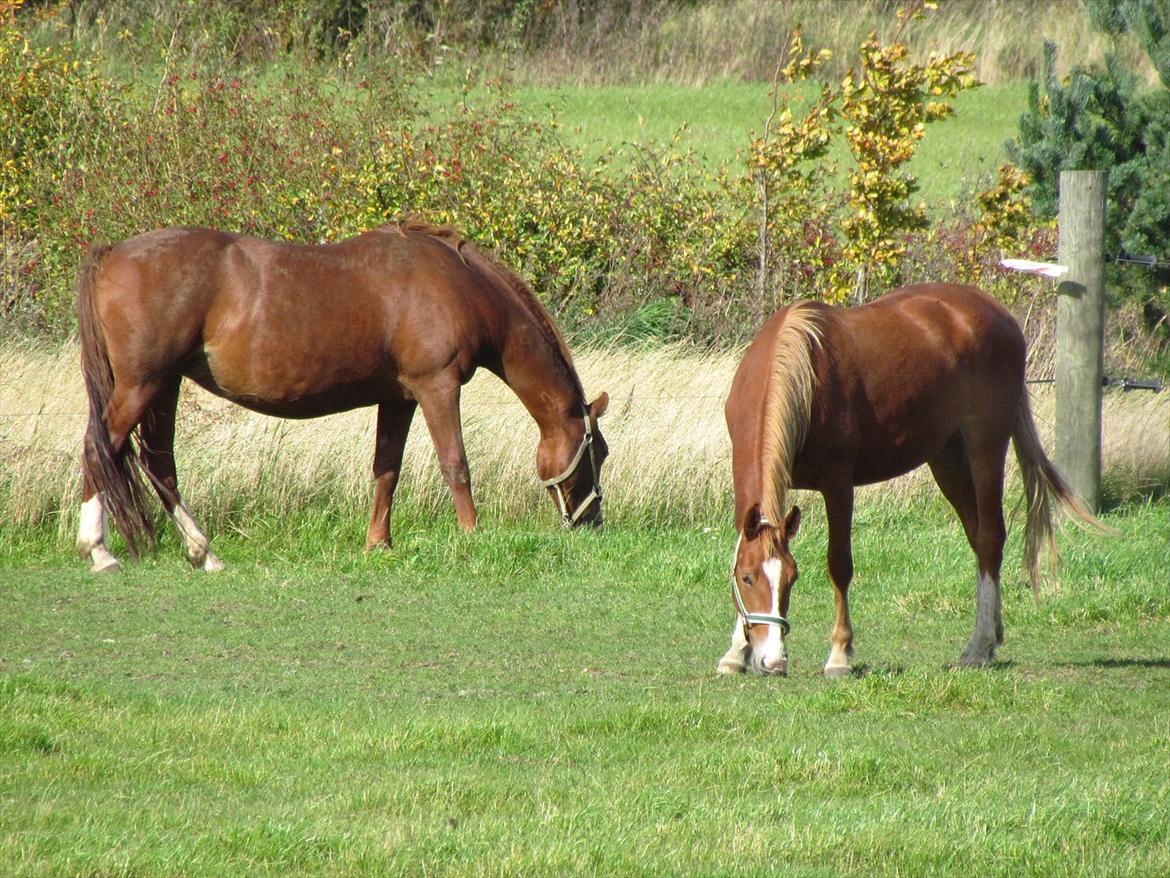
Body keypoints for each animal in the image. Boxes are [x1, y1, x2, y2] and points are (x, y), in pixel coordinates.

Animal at [76, 223, 613, 573]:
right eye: (599, 453)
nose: (592, 523)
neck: (460, 284)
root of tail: (112, 253)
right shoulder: (437, 387)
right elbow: (455, 465)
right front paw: (473, 537)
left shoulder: (400, 399)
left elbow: (386, 470)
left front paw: (378, 544)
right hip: (142, 385)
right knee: (100, 450)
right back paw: (99, 550)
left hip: (164, 385)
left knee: (159, 462)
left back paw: (202, 552)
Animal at [716, 285, 1099, 678]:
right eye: (747, 578)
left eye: (791, 578)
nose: (773, 660)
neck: (800, 374)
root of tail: (999, 314)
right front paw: (736, 651)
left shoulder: (838, 485)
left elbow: (839, 564)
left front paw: (839, 654)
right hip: (947, 459)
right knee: (978, 538)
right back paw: (992, 635)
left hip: (986, 446)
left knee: (991, 538)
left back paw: (979, 646)